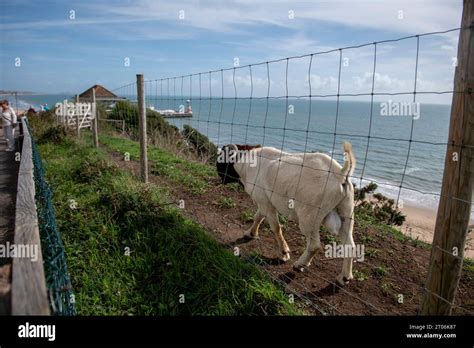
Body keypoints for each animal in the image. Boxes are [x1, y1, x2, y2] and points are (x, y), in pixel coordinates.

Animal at [217, 142, 358, 286]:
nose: (219, 176)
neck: (245, 162)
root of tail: (340, 174)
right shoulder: (264, 201)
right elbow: (258, 217)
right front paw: (250, 233)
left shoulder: (265, 203)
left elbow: (276, 228)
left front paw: (284, 253)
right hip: (346, 213)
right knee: (350, 245)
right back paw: (344, 277)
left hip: (309, 217)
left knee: (314, 245)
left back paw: (299, 265)